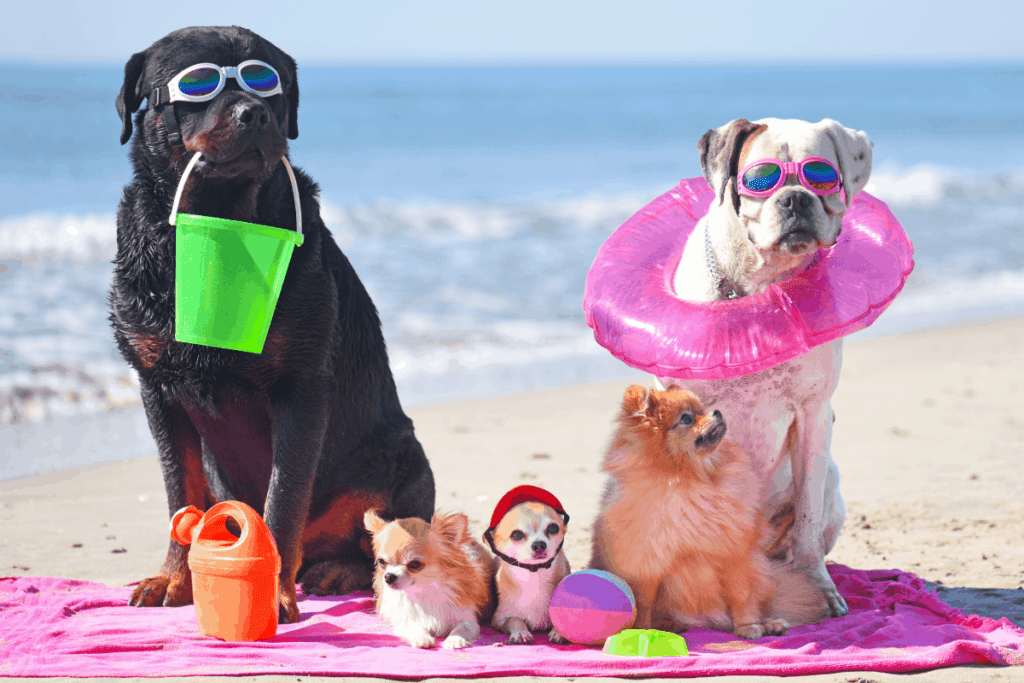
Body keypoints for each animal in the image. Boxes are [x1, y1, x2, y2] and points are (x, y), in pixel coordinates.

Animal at [663, 114, 872, 618]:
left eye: (821, 176)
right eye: (761, 178)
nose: (795, 198)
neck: (760, 286)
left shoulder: (814, 414)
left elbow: (807, 524)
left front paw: (818, 589)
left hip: (831, 482)